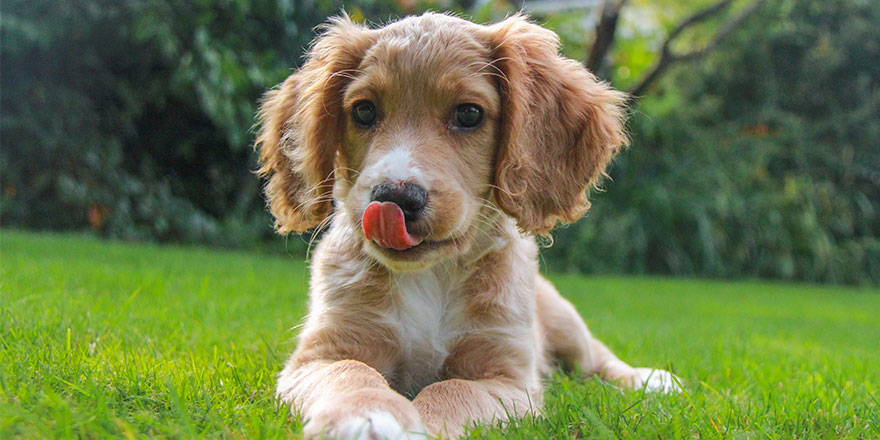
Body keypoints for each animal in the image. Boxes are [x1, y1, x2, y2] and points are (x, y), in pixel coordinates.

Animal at [254, 12, 680, 438]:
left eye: (469, 114)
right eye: (363, 111)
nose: (395, 198)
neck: (430, 274)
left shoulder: (507, 378)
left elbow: (452, 389)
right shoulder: (321, 354)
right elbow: (351, 371)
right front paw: (367, 413)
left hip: (565, 322)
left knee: (596, 360)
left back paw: (650, 380)